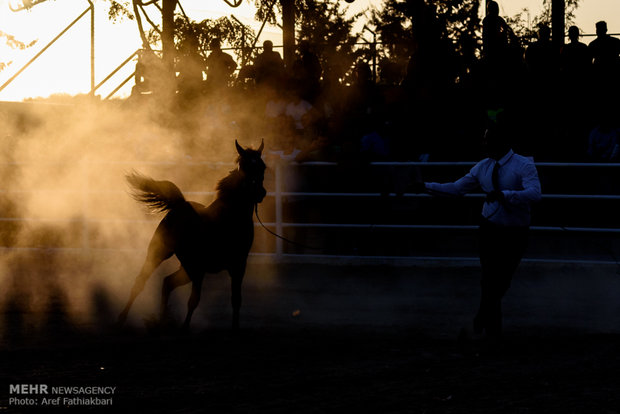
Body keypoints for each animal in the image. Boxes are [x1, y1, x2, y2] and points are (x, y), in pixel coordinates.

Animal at [117, 141, 266, 332]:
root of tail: (180, 204)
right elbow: (194, 300)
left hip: (187, 267)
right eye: (245, 166)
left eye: (262, 166)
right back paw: (122, 319)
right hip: (161, 254)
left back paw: (162, 321)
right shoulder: (201, 266)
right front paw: (184, 328)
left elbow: (236, 300)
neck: (227, 219)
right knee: (141, 282)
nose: (260, 193)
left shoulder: (238, 266)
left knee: (168, 282)